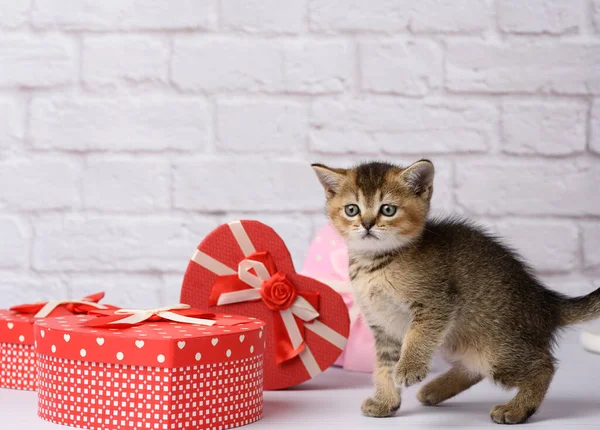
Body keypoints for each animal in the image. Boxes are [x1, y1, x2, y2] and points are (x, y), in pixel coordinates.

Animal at [312, 160, 596, 424]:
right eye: (352, 209)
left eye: (388, 209)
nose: (368, 223)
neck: (375, 264)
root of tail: (545, 301)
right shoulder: (382, 326)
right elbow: (384, 367)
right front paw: (386, 402)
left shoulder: (438, 302)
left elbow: (417, 336)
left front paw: (409, 368)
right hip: (456, 341)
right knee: (475, 368)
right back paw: (435, 390)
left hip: (496, 349)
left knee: (544, 366)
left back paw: (516, 409)